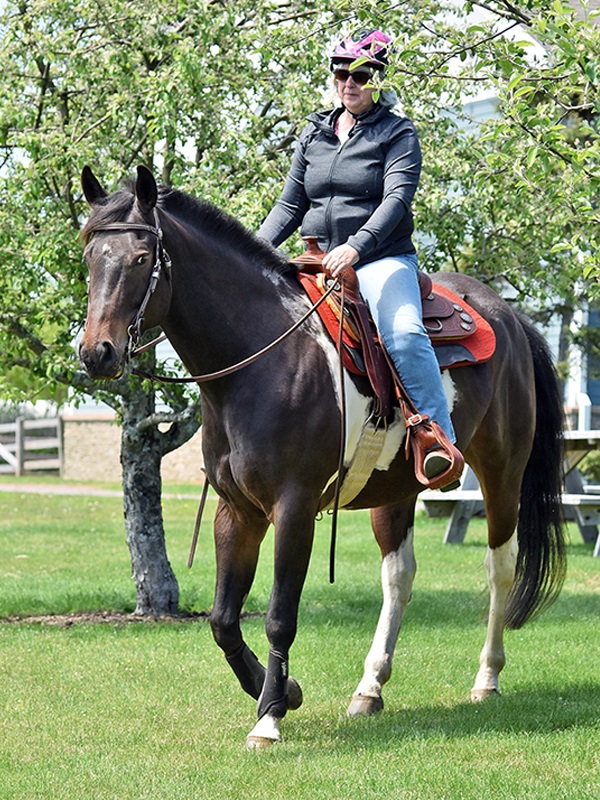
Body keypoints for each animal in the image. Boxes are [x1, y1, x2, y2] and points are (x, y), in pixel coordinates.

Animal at [79, 165, 566, 749]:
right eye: (88, 258)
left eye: (140, 258)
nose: (96, 353)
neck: (260, 361)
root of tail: (509, 315)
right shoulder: (237, 511)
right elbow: (223, 619)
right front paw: (283, 691)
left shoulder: (293, 507)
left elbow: (278, 615)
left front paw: (268, 718)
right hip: (396, 490)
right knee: (398, 576)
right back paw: (370, 688)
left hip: (502, 472)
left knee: (500, 567)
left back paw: (486, 677)